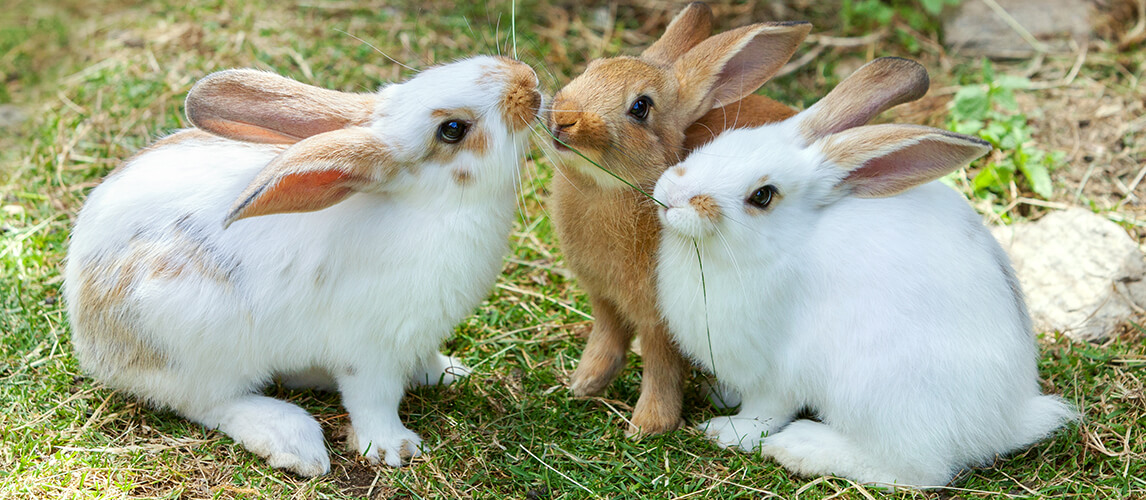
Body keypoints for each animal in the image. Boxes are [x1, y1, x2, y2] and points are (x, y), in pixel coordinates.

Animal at [65, 56, 543, 474]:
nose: (528, 80)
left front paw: (446, 373)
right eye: (452, 129)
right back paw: (292, 439)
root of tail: (88, 332)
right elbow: (373, 400)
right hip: (195, 340)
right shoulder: (370, 350)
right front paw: (394, 449)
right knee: (208, 402)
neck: (433, 208)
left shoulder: (416, 336)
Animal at [547, 2, 811, 433]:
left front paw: (648, 425)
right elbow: (606, 339)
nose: (565, 118)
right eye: (592, 67)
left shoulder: (663, 322)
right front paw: (584, 384)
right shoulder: (603, 299)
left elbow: (661, 367)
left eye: (641, 107)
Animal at [655, 56, 1072, 486]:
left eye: (762, 195)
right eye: (724, 141)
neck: (786, 243)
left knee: (916, 469)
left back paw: (802, 448)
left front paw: (725, 432)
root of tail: (1009, 419)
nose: (671, 196)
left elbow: (763, 413)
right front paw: (720, 394)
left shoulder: (775, 369)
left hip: (876, 388)